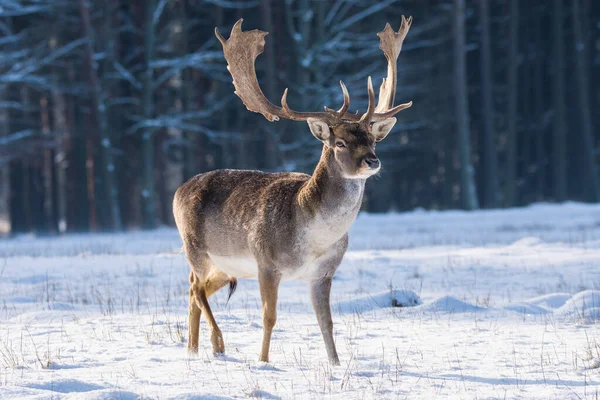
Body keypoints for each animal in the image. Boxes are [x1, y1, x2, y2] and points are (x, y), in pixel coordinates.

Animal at [173, 16, 412, 366]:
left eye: (372, 139)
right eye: (340, 143)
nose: (372, 160)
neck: (313, 238)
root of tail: (179, 189)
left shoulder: (323, 273)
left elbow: (326, 322)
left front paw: (335, 364)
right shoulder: (266, 262)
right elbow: (269, 316)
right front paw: (263, 361)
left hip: (226, 267)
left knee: (194, 292)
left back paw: (192, 349)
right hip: (194, 247)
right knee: (194, 287)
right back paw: (217, 343)